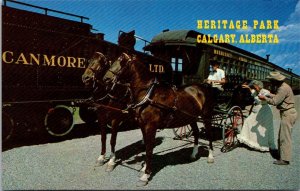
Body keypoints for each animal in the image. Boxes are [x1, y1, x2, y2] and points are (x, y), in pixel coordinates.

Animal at [103, 53, 216, 186]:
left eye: (121, 62)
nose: (105, 79)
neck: (149, 95)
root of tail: (201, 88)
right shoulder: (143, 125)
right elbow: (147, 146)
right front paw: (144, 168)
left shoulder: (150, 126)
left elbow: (149, 148)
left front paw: (145, 175)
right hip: (190, 118)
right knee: (197, 133)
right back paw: (193, 154)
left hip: (206, 117)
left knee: (209, 134)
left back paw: (210, 156)